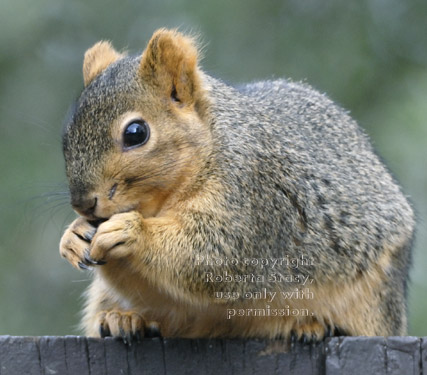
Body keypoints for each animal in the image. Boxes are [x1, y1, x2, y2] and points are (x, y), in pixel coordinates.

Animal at [58, 29, 416, 346]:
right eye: (66, 136)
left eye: (136, 133)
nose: (83, 204)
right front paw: (74, 236)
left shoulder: (255, 198)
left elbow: (216, 258)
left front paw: (132, 232)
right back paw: (123, 319)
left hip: (374, 298)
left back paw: (312, 325)